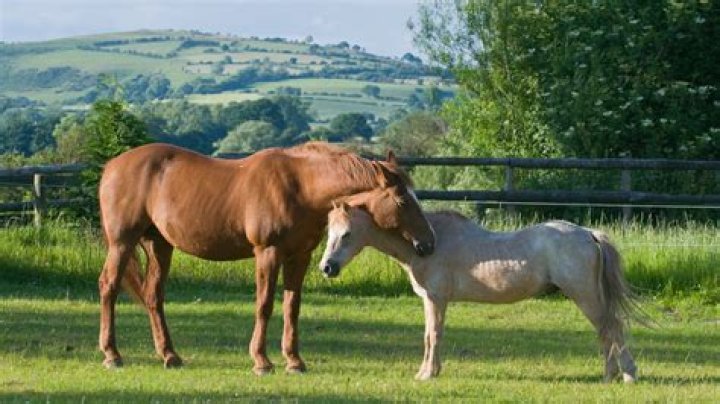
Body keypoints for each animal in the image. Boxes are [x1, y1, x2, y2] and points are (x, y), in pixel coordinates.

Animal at [97, 142, 436, 375]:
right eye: (402, 200)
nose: (428, 243)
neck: (301, 187)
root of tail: (112, 166)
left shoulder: (299, 257)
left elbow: (291, 307)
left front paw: (294, 361)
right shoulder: (267, 253)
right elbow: (265, 305)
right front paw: (261, 361)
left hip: (159, 245)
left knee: (153, 296)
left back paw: (170, 356)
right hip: (122, 243)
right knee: (109, 286)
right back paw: (112, 355)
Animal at [319, 203, 640, 383]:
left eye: (346, 234)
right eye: (329, 232)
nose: (327, 267)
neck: (427, 244)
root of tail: (588, 233)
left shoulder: (436, 299)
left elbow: (434, 335)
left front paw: (427, 375)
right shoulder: (430, 301)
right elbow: (427, 336)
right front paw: (426, 372)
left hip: (585, 295)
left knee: (612, 328)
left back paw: (626, 375)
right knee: (606, 331)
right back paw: (609, 375)